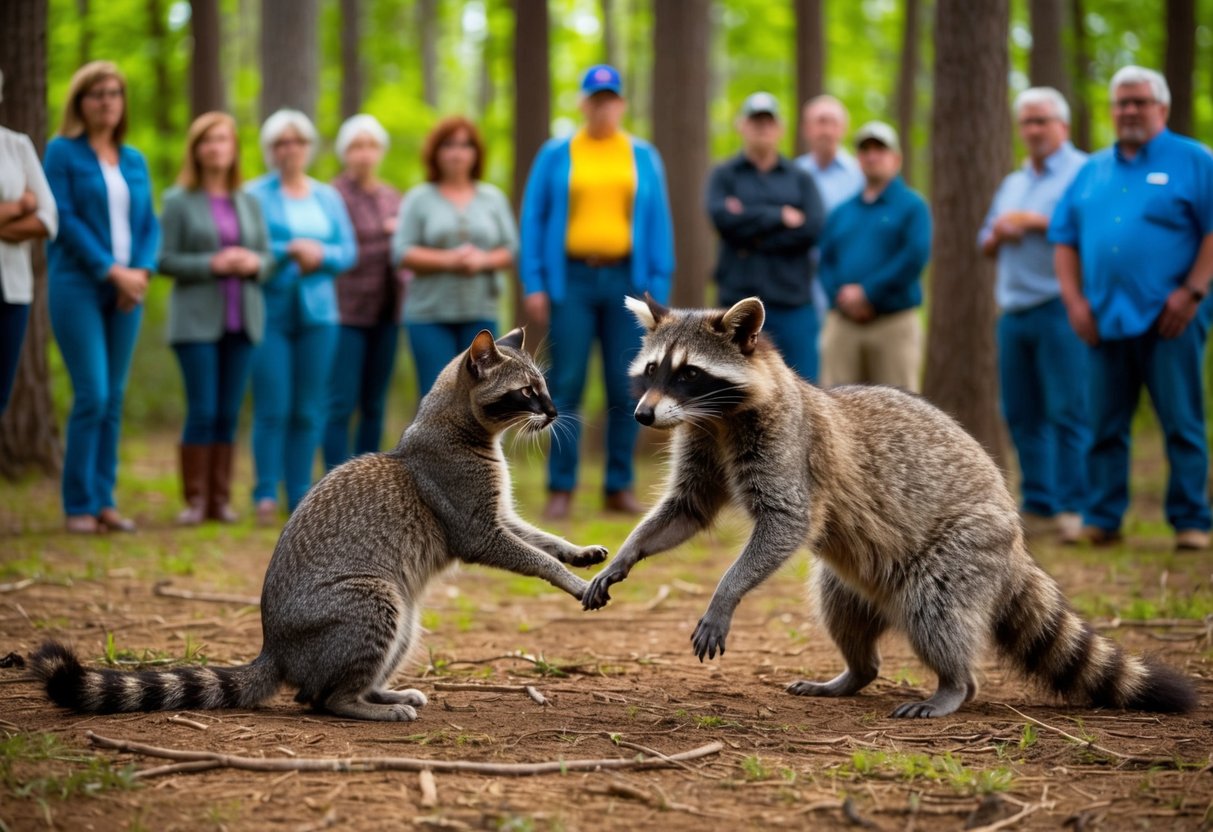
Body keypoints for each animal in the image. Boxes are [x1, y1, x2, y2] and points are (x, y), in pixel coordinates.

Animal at [31, 329, 607, 721]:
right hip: (366, 597)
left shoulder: (497, 510)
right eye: (528, 392)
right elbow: (517, 550)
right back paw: (359, 703)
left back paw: (378, 689)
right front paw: (563, 575)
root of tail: (276, 648)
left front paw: (572, 551)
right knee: (322, 696)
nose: (554, 412)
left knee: (379, 650)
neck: (463, 427)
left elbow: (531, 534)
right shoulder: (466, 513)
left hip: (398, 611)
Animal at [582, 294, 1197, 718]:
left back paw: (954, 684)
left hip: (965, 547)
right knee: (842, 612)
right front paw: (630, 552)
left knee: (937, 612)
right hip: (857, 579)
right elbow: (685, 509)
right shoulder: (703, 441)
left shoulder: (787, 444)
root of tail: (1017, 541)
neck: (719, 417)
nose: (642, 415)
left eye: (689, 373)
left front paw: (725, 593)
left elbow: (787, 521)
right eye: (653, 370)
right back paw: (855, 671)